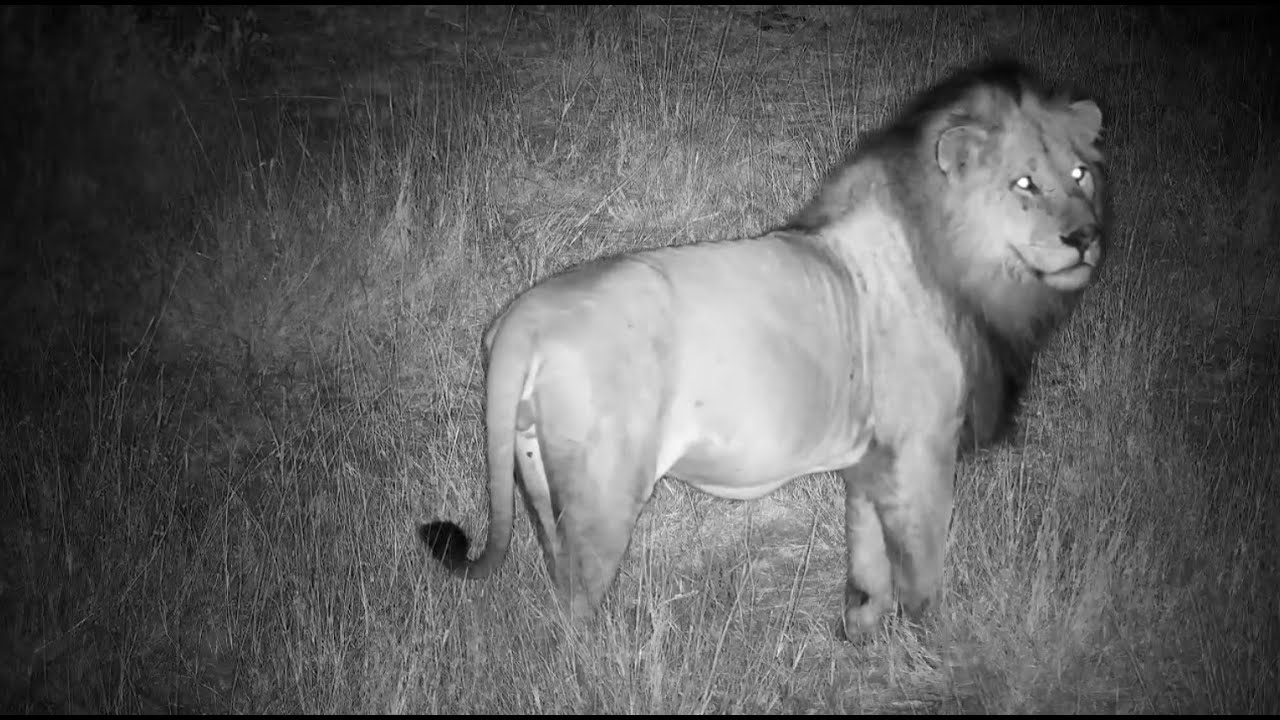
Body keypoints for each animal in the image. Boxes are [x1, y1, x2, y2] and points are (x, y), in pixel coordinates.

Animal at [421, 59, 1107, 639]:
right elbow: (921, 571)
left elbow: (868, 560)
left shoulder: (873, 461)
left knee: (554, 571)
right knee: (573, 606)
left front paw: (859, 635)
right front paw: (931, 645)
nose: (1085, 237)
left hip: (535, 472)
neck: (963, 264)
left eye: (1081, 174)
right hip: (603, 492)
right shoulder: (922, 453)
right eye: (1024, 183)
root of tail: (521, 321)